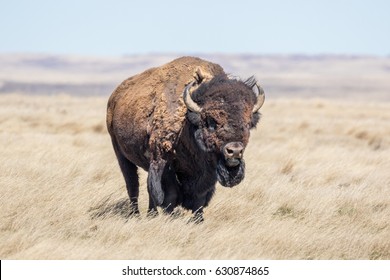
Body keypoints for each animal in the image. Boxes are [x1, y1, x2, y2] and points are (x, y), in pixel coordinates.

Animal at [106, 57, 266, 222]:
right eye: (210, 122)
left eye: (247, 124)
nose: (234, 151)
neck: (187, 122)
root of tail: (114, 98)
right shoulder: (164, 163)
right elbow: (168, 194)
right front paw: (169, 217)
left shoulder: (206, 175)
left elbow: (200, 198)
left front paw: (198, 220)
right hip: (121, 155)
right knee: (133, 185)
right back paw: (137, 215)